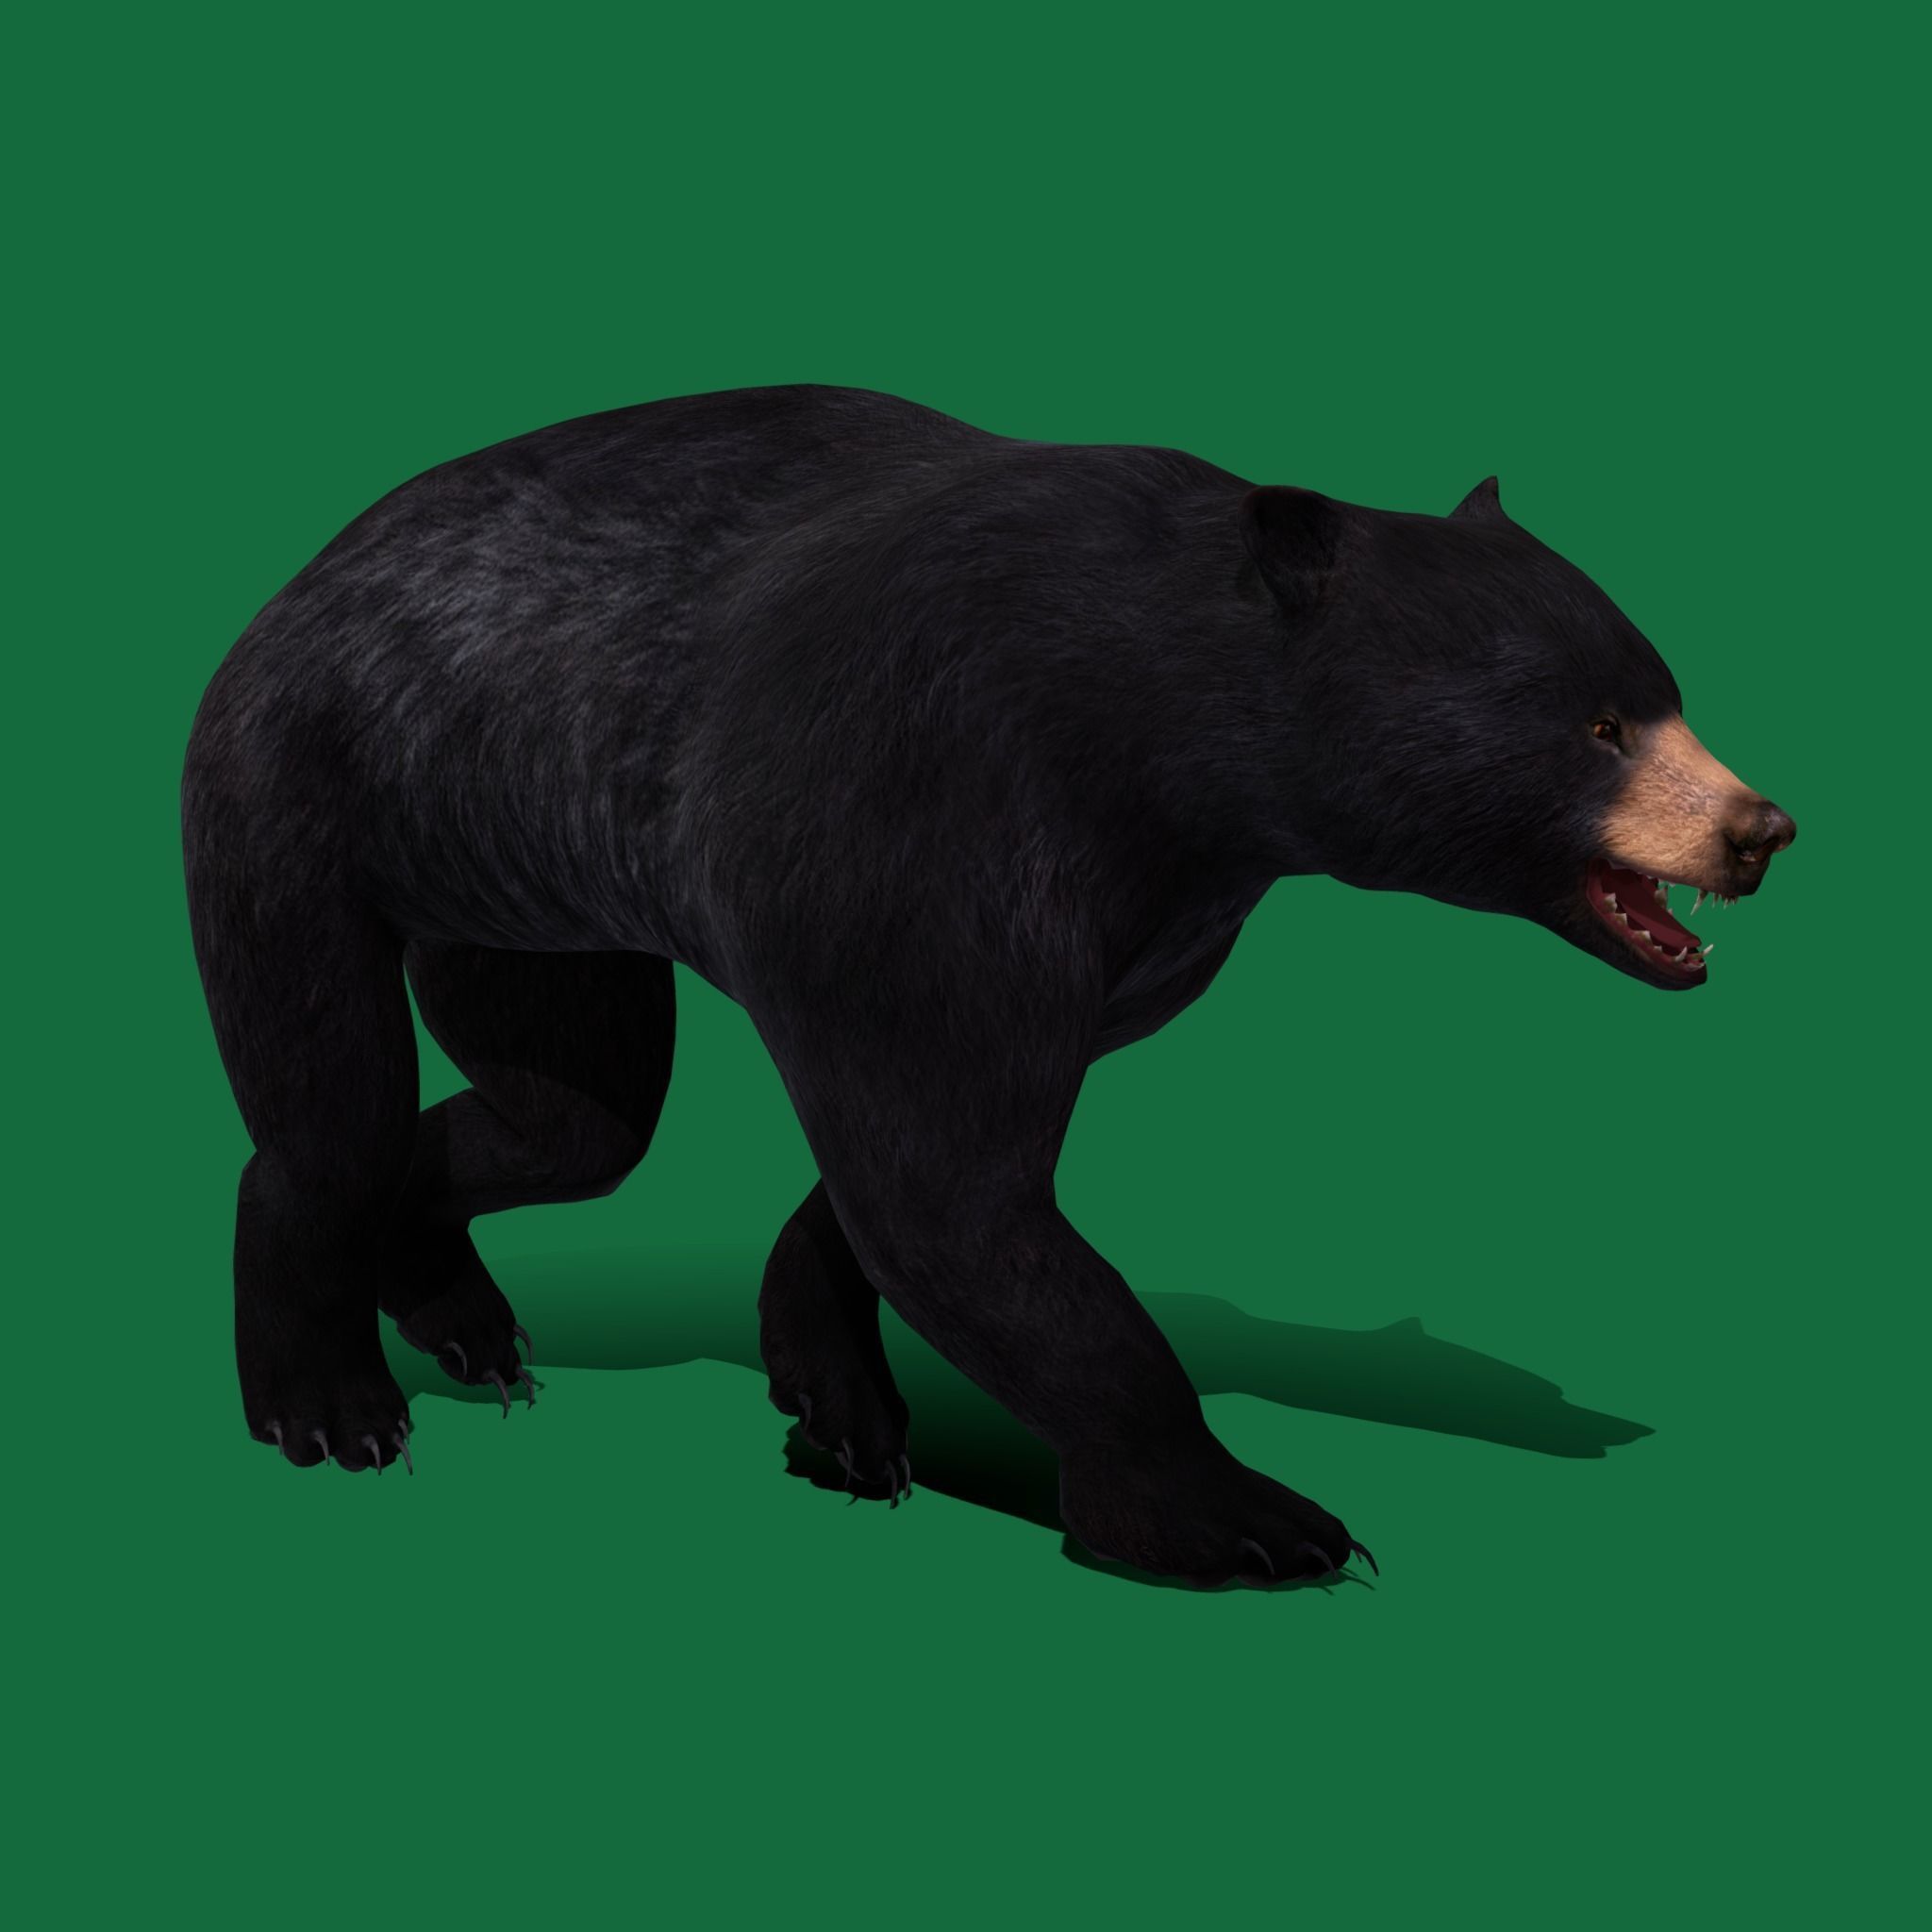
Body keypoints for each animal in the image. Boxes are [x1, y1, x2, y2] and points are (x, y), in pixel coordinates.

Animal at [181, 384, 1796, 1583]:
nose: (1758, 828)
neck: (1167, 744)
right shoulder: (924, 807)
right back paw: (331, 1401)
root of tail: (293, 580)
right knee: (330, 1097)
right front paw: (1253, 1516)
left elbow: (936, 1163)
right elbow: (951, 1178)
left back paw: (459, 1312)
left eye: (1664, 688)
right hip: (312, 791)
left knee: (573, 1111)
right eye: (1595, 723)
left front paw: (833, 1399)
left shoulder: (1146, 920)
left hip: (527, 897)